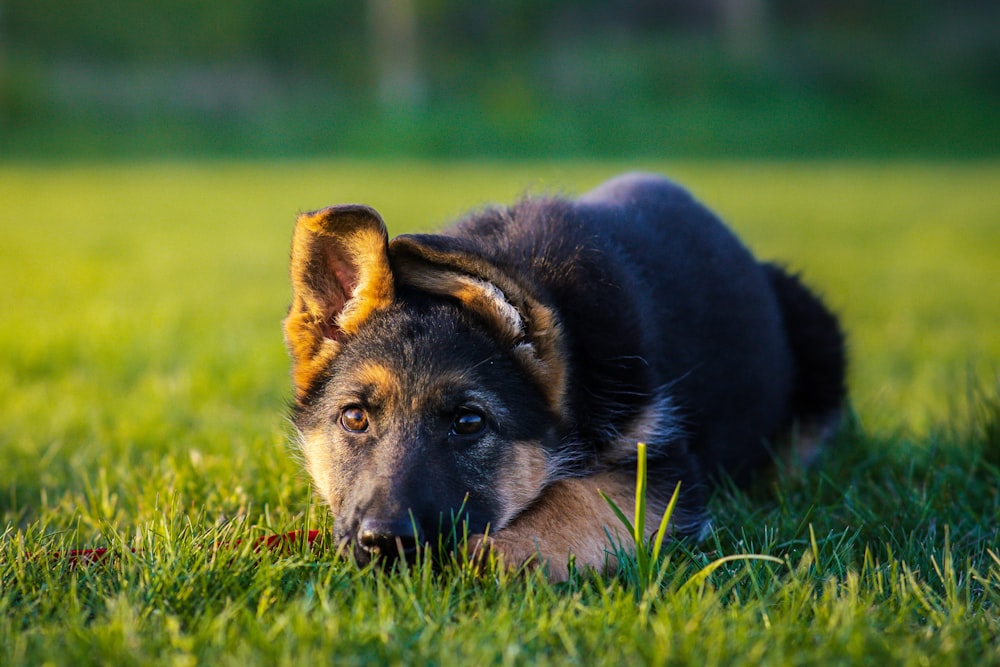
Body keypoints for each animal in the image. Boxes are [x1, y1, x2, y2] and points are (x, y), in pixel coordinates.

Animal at [282, 172, 844, 580]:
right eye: (354, 418)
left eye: (469, 423)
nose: (385, 543)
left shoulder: (660, 462)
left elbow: (579, 499)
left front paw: (499, 552)